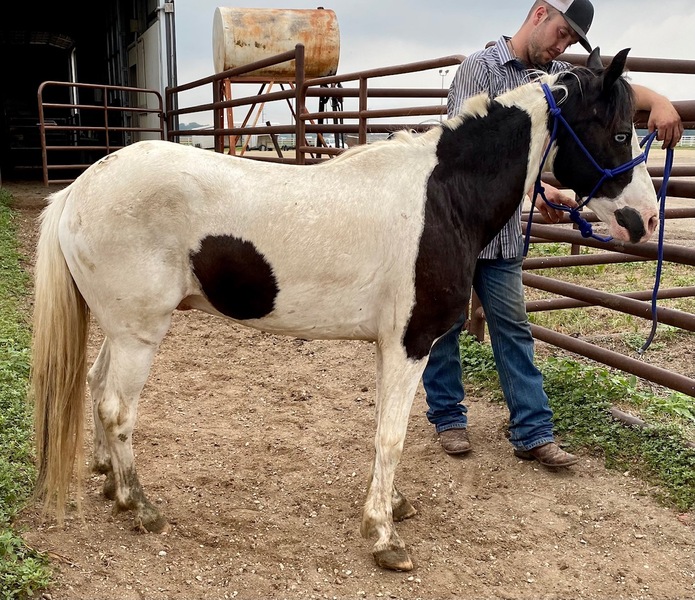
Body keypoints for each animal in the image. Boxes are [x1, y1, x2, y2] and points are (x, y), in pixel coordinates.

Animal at [30, 48, 657, 572]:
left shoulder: (392, 345)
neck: (443, 196)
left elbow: (384, 427)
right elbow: (392, 436)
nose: (646, 221)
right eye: (621, 132)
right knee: (116, 408)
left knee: (95, 385)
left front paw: (393, 505)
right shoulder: (410, 343)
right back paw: (140, 507)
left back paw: (109, 483)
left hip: (121, 329)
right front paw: (384, 538)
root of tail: (79, 188)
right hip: (139, 333)